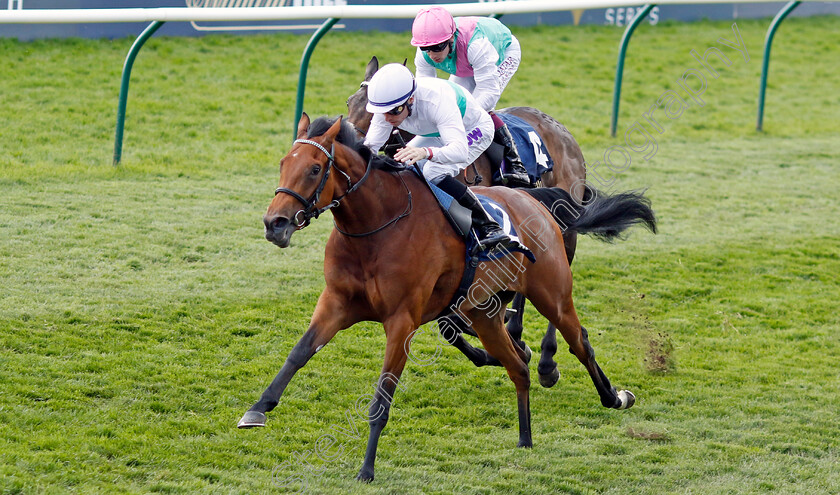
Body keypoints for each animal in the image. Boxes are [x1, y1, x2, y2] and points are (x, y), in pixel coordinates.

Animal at [238, 114, 656, 482]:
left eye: (313, 170)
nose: (274, 223)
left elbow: (382, 397)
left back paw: (611, 395)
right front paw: (257, 410)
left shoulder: (402, 321)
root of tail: (533, 200)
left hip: (552, 292)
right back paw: (525, 437)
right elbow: (298, 353)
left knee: (579, 342)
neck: (377, 227)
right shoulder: (335, 305)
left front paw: (367, 469)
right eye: (283, 164)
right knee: (517, 366)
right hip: (484, 313)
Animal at [344, 57, 588, 384]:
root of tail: (561, 130)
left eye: (373, 114)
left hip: (564, 223)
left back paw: (547, 361)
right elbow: (453, 323)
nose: (351, 145)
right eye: (350, 102)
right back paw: (516, 331)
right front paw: (502, 347)